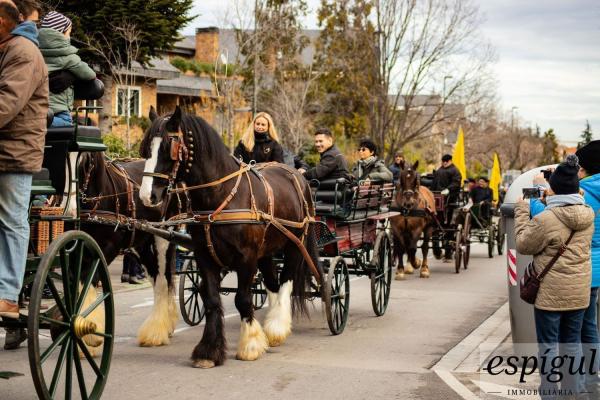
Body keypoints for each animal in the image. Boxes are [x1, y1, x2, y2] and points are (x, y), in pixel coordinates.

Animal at [138, 107, 322, 368]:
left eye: (168, 146)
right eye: (146, 148)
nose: (147, 196)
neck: (221, 196)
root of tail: (297, 176)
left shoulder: (246, 258)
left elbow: (243, 299)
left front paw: (251, 345)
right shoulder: (205, 256)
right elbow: (212, 300)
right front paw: (208, 351)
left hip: (295, 243)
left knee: (286, 281)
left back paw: (277, 327)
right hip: (267, 251)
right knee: (273, 284)